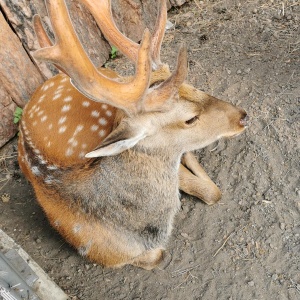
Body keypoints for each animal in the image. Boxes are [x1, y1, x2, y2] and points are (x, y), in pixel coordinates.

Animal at [18, 0, 248, 270]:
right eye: (190, 118)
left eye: (193, 86)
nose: (243, 116)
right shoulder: (110, 256)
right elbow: (158, 255)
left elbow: (212, 191)